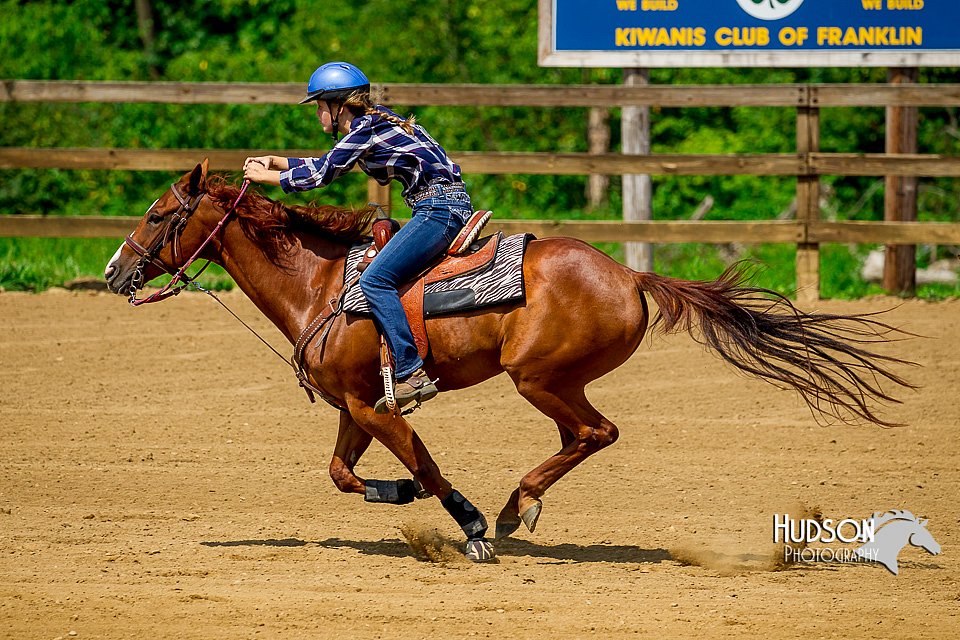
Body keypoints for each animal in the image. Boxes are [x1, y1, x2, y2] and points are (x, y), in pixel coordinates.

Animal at [105, 162, 916, 564]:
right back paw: (517, 504)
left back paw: (509, 508)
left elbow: (429, 467)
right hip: (554, 382)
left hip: (539, 377)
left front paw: (463, 525)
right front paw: (398, 496)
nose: (114, 272)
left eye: (156, 214)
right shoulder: (354, 407)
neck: (325, 284)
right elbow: (341, 473)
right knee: (580, 438)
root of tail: (630, 275)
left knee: (595, 433)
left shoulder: (377, 406)